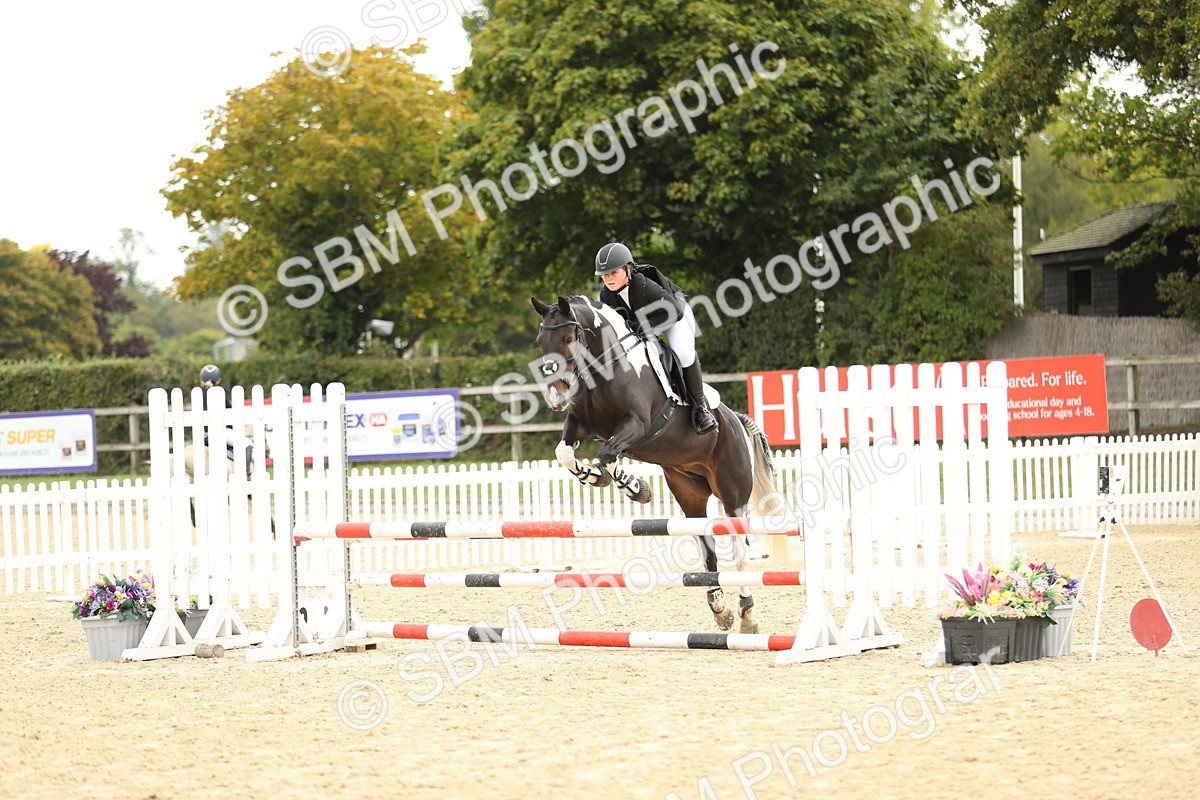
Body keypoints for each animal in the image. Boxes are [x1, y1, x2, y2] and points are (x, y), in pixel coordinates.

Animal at [531, 295, 781, 634]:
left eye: (569, 339)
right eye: (540, 342)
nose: (556, 397)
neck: (606, 367)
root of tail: (738, 421)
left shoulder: (636, 426)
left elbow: (608, 454)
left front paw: (635, 488)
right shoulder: (580, 425)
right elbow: (565, 454)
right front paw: (595, 477)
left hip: (733, 494)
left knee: (740, 549)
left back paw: (747, 615)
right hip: (690, 494)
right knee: (708, 548)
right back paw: (720, 608)